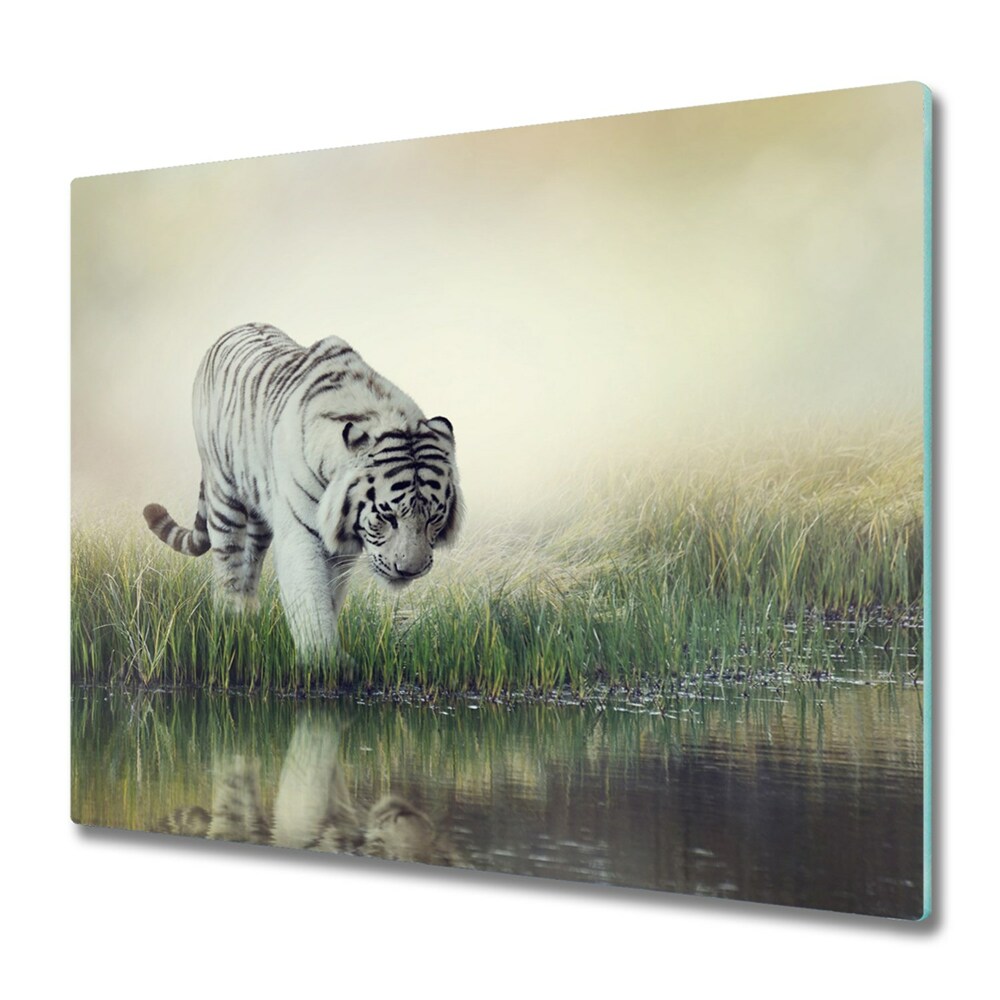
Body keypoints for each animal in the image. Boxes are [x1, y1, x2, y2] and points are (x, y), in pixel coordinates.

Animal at [143, 323, 462, 660]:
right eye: (387, 517)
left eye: (434, 518)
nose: (410, 571)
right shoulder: (301, 534)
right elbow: (310, 596)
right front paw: (323, 659)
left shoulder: (342, 547)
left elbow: (330, 595)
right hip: (223, 494)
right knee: (228, 563)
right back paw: (230, 618)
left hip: (260, 515)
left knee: (251, 561)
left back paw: (249, 616)